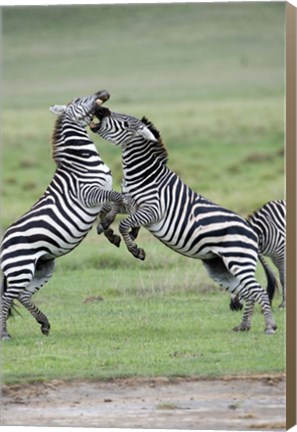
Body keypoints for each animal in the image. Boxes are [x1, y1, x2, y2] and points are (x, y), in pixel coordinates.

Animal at [0, 90, 123, 340]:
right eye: (78, 101)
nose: (103, 92)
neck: (82, 160)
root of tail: (3, 242)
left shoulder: (98, 196)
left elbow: (109, 207)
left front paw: (109, 230)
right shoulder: (89, 192)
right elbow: (117, 198)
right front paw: (108, 225)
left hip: (44, 266)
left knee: (22, 295)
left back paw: (44, 323)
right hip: (20, 267)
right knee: (7, 297)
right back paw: (5, 333)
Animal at [91, 104, 278, 334]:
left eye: (125, 122)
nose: (101, 109)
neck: (143, 175)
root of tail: (252, 232)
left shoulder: (153, 210)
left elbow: (125, 224)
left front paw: (135, 249)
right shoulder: (130, 202)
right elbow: (112, 206)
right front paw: (106, 226)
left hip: (238, 259)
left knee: (258, 291)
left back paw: (269, 326)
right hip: (220, 267)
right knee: (248, 293)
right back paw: (243, 326)